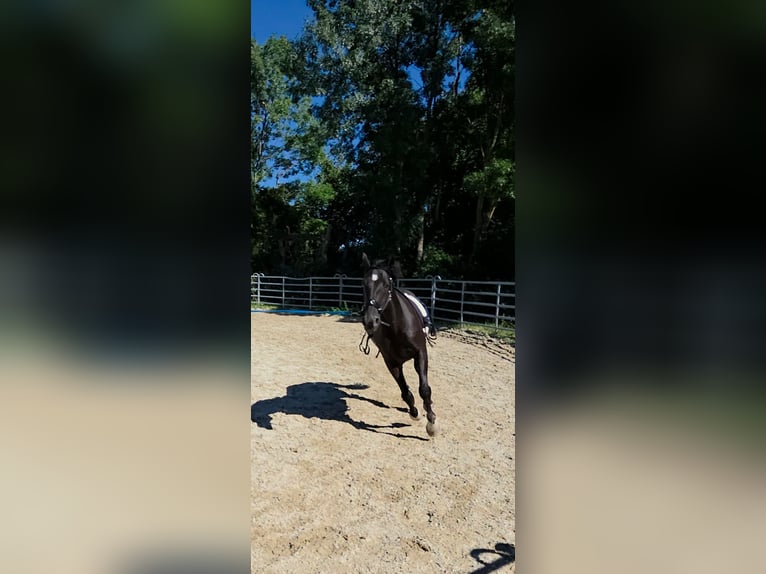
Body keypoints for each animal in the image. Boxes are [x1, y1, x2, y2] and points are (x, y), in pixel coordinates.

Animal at [358, 253, 439, 437]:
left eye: (386, 285)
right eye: (364, 284)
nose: (370, 321)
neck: (397, 327)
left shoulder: (420, 353)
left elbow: (424, 389)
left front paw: (431, 423)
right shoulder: (392, 362)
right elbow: (405, 393)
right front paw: (415, 413)